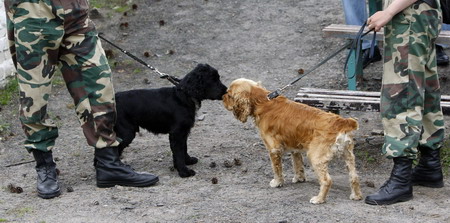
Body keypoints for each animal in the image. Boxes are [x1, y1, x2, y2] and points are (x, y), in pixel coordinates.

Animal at [223, 78, 364, 204]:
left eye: (229, 95)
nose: (222, 97)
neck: (263, 102)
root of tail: (343, 122)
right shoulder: (295, 147)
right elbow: (297, 164)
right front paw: (299, 178)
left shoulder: (273, 149)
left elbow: (277, 169)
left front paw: (277, 183)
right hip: (348, 155)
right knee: (354, 177)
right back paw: (356, 196)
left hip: (315, 157)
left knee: (327, 181)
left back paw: (319, 199)